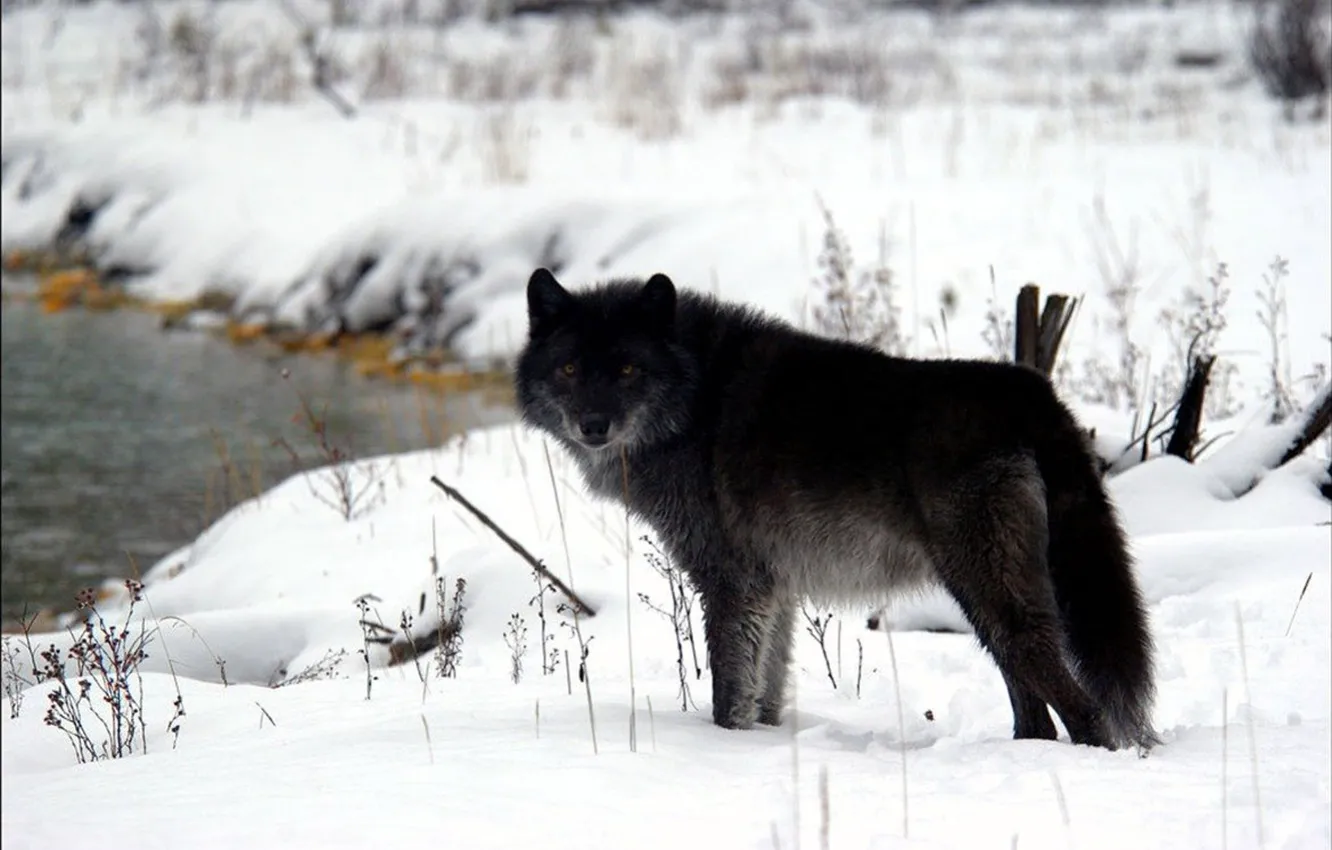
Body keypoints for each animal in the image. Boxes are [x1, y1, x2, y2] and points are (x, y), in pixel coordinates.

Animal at [514, 267, 1159, 751]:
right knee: (1034, 711)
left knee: (1083, 708)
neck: (696, 398)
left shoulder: (731, 582)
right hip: (984, 605)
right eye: (569, 369)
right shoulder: (773, 589)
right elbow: (765, 691)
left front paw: (724, 749)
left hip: (990, 594)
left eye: (628, 369)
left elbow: (729, 693)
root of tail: (1032, 391)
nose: (593, 425)